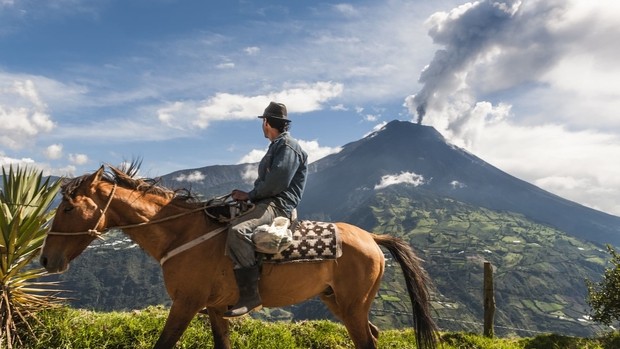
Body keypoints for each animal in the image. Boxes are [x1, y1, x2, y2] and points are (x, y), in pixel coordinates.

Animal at [40, 164, 436, 348]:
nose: (45, 260)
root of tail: (371, 236)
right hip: (337, 301)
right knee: (371, 335)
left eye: (69, 209)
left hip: (352, 305)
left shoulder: (186, 303)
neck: (183, 234)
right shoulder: (215, 309)